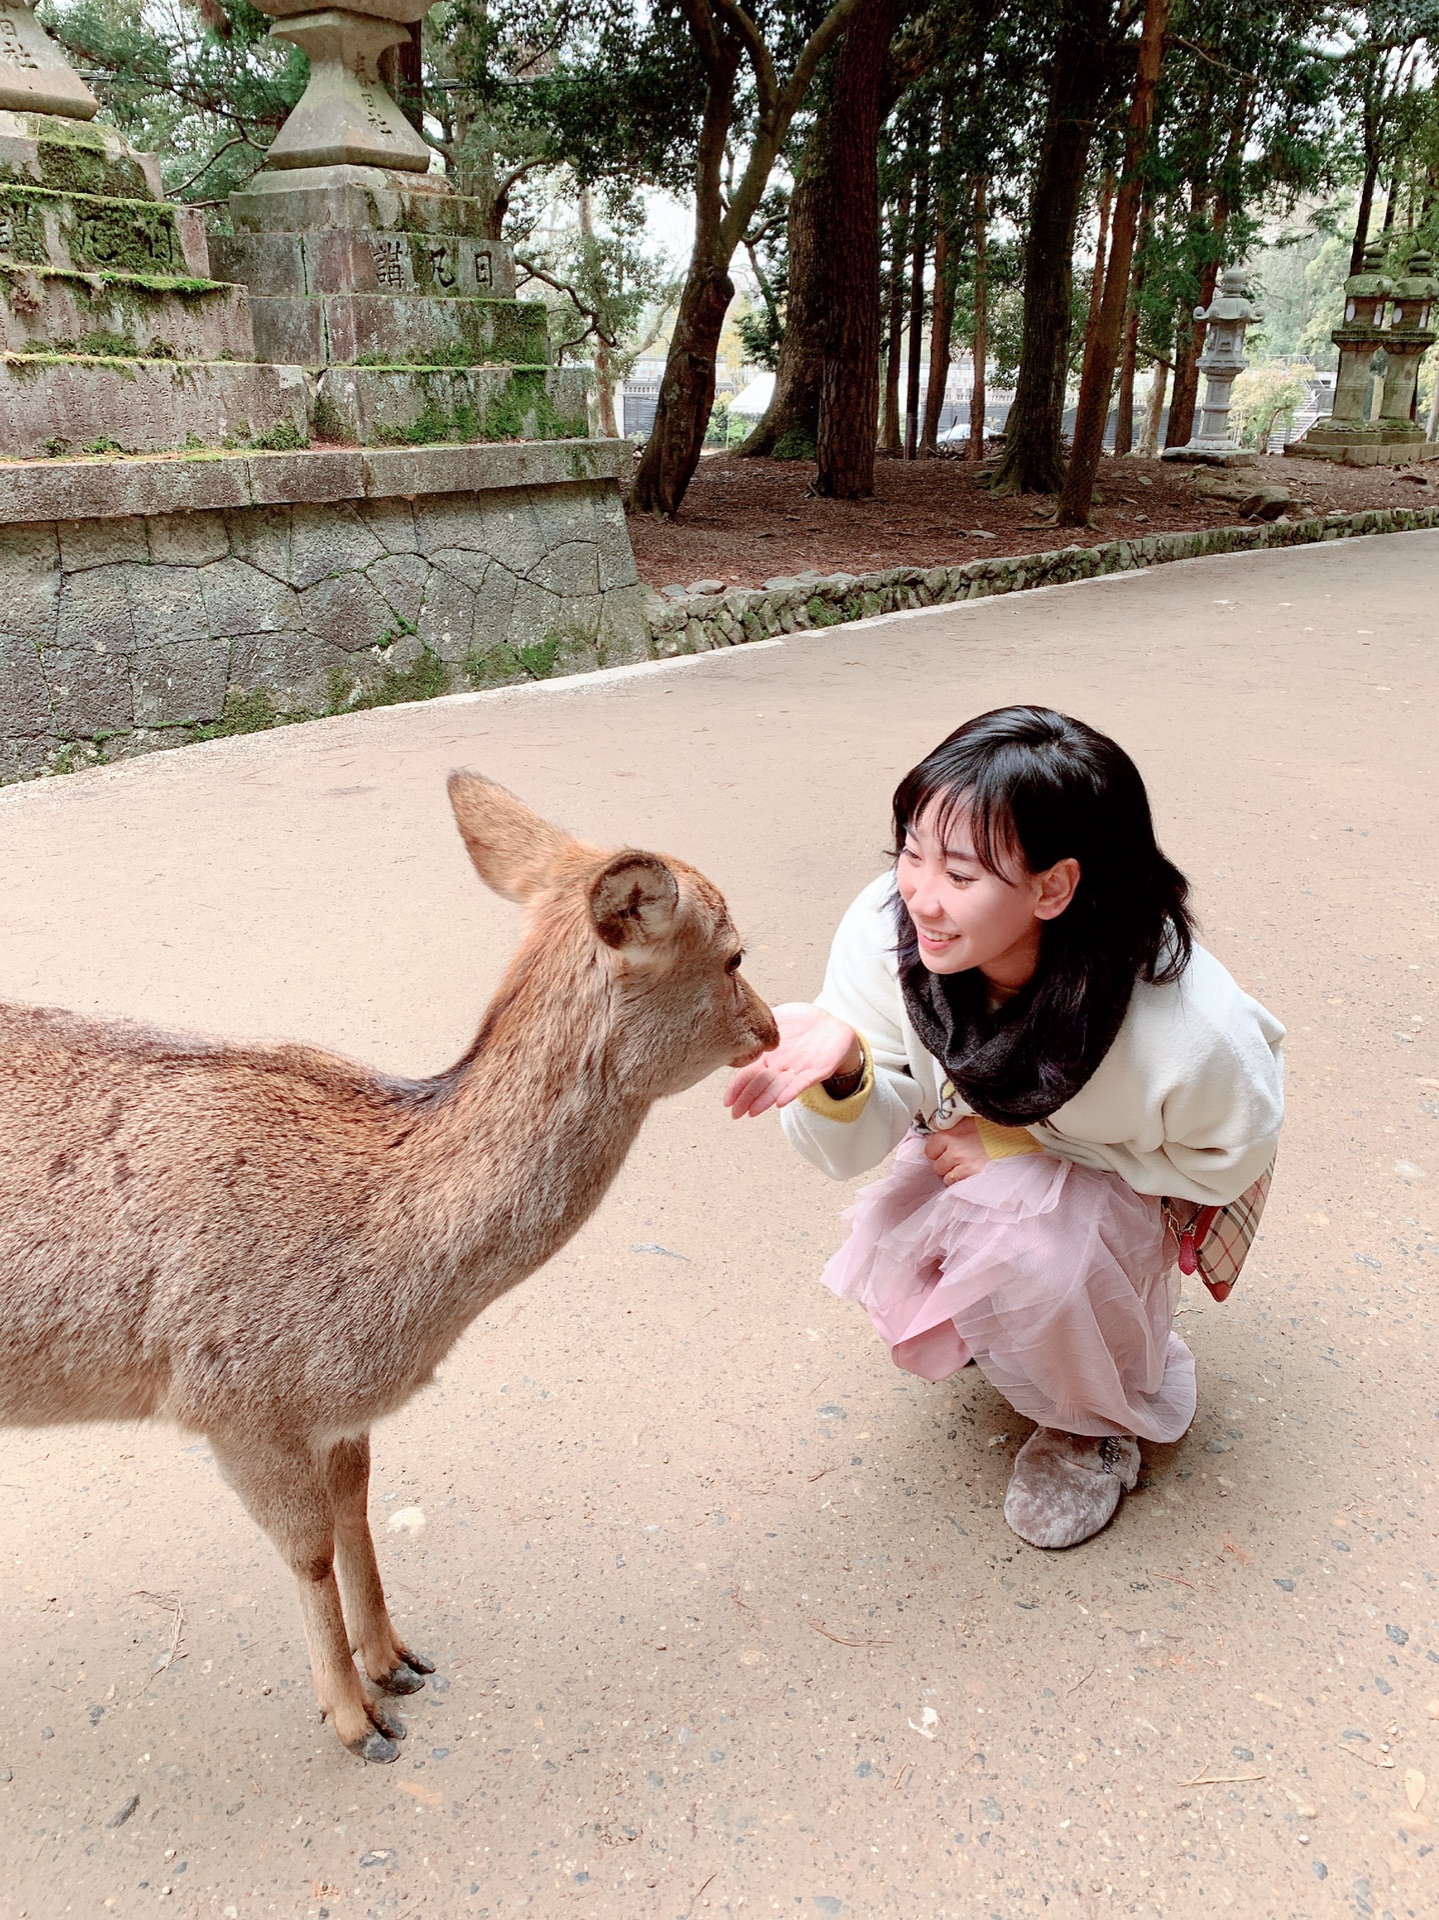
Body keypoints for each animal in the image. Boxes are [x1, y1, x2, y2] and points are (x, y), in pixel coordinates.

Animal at [0, 771, 776, 1758]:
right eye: (733, 954)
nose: (771, 1029)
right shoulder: (230, 1401)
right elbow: (307, 1550)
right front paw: (355, 1721)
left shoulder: (337, 1413)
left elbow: (357, 1513)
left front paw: (397, 1661)